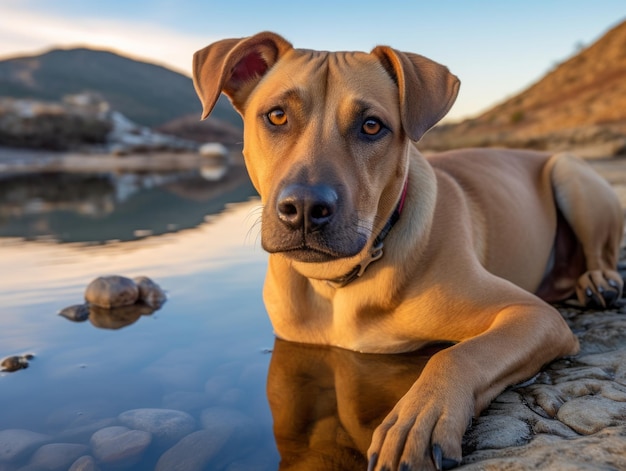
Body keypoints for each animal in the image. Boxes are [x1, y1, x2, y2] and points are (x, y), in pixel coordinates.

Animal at [193, 31, 620, 470]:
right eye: (277, 116)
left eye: (371, 126)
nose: (306, 208)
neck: (341, 281)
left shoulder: (534, 315)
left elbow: (456, 355)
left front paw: (420, 418)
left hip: (571, 173)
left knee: (600, 252)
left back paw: (598, 281)